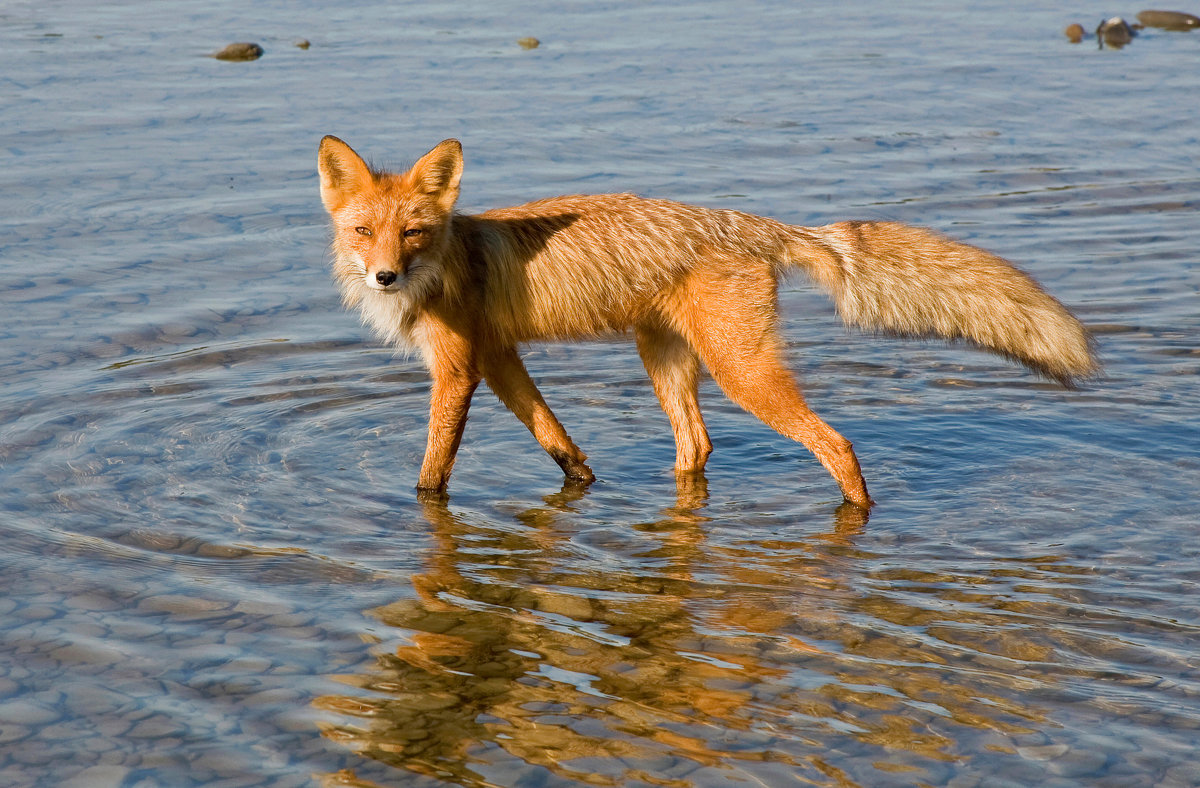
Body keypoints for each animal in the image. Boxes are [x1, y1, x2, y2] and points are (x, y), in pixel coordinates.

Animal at [316, 137, 1099, 506]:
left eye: (412, 233)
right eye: (364, 232)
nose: (384, 276)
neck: (447, 261)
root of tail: (755, 223)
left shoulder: (458, 368)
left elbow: (432, 473)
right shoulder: (501, 355)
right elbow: (557, 441)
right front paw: (582, 479)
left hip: (741, 370)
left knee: (837, 444)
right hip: (665, 360)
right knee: (698, 446)